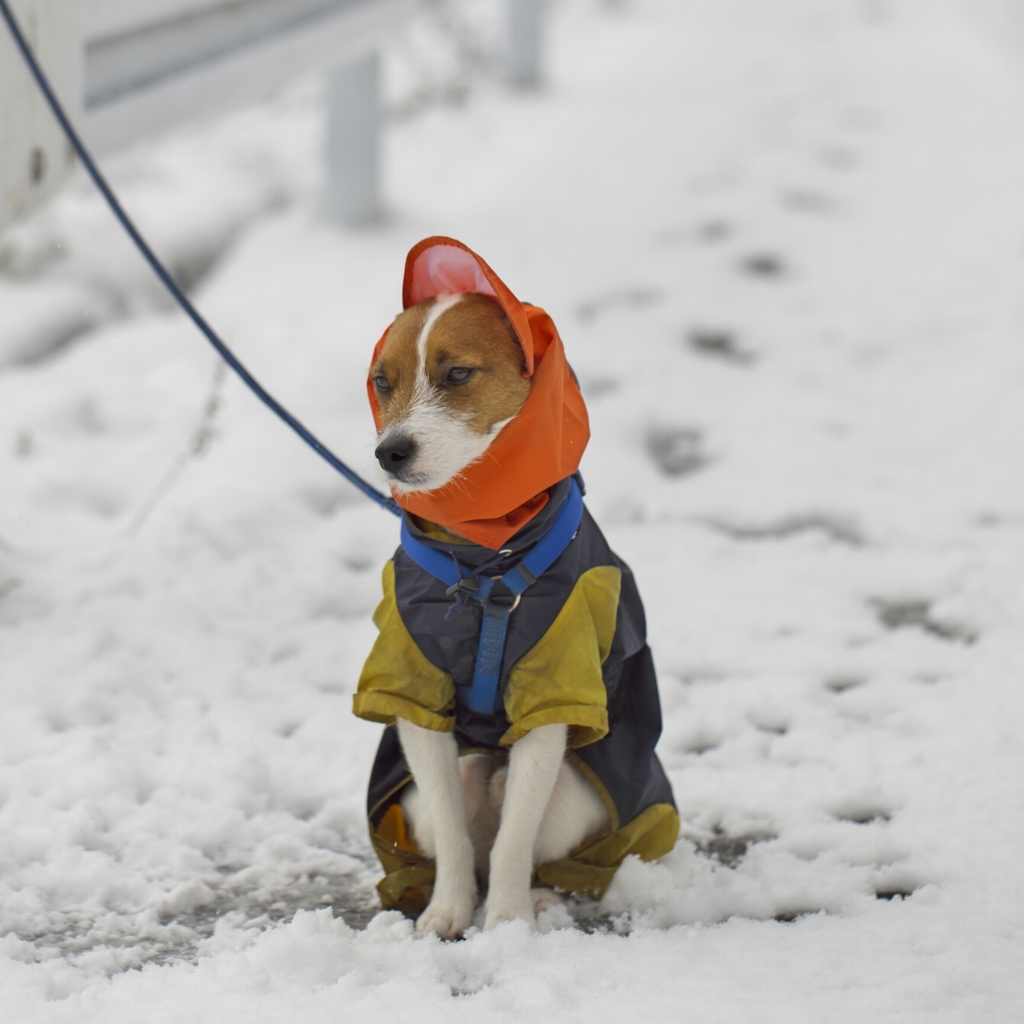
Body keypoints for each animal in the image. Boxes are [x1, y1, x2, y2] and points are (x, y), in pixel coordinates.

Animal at [352, 237, 679, 937]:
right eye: (382, 381)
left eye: (456, 375)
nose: (390, 452)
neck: (484, 561)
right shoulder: (414, 693)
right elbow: (452, 834)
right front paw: (448, 912)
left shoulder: (555, 693)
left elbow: (514, 840)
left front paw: (505, 924)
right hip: (431, 791)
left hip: (575, 794)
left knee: (530, 842)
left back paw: (542, 901)